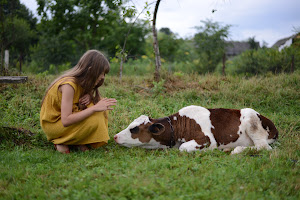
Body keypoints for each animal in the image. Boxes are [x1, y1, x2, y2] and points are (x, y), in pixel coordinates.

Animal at [113, 105, 278, 154]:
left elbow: (184, 148)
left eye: (134, 129)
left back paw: (235, 150)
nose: (115, 136)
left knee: (263, 147)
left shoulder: (208, 140)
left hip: (251, 121)